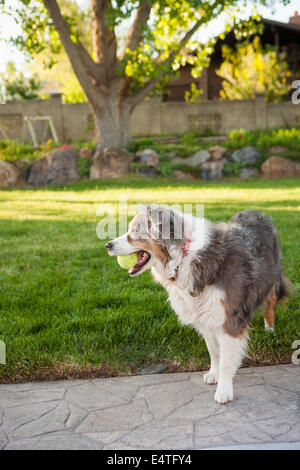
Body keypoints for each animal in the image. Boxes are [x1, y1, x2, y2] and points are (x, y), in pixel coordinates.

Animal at [106, 206, 290, 404]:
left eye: (136, 230)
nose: (108, 245)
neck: (184, 256)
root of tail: (255, 211)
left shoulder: (229, 317)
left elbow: (226, 361)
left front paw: (224, 391)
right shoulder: (205, 315)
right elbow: (214, 352)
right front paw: (213, 374)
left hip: (271, 280)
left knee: (270, 304)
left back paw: (270, 330)